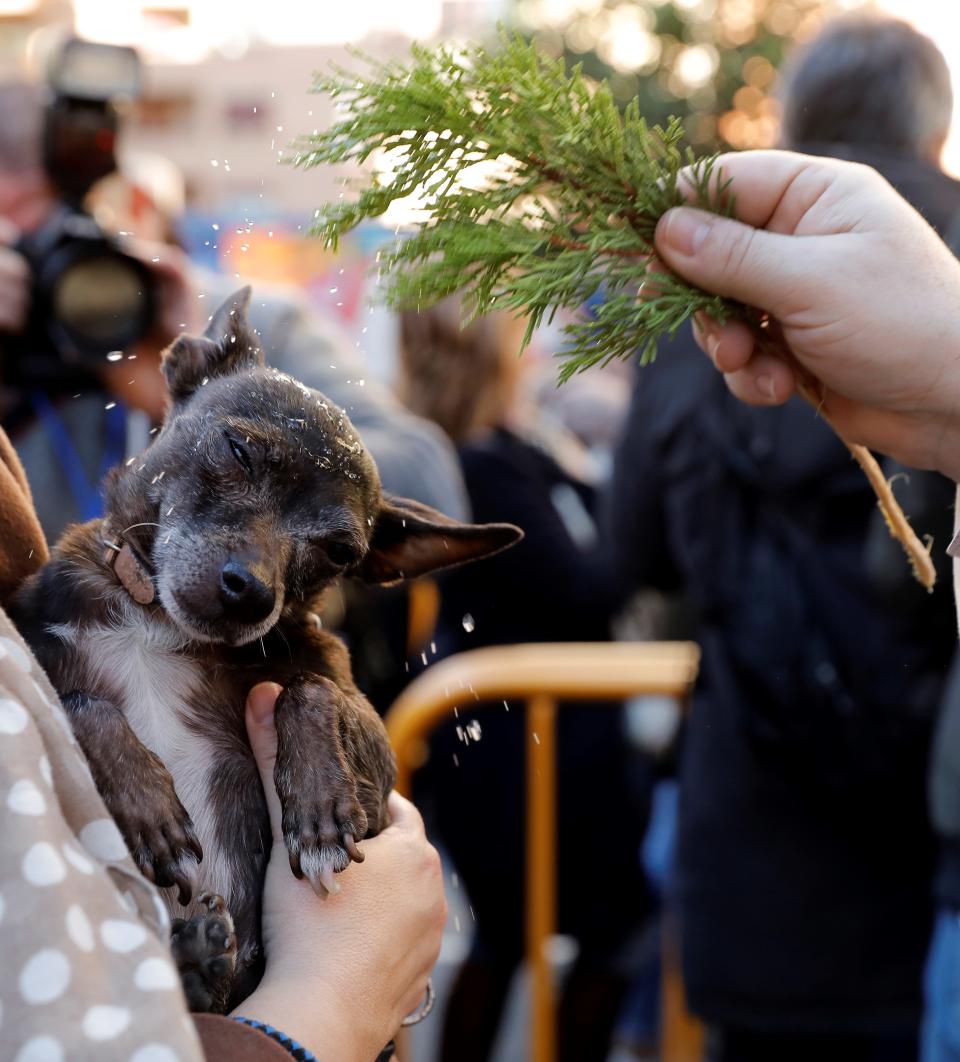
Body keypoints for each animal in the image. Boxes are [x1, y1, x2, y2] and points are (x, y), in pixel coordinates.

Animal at [9, 288, 518, 1011]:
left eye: (340, 553)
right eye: (239, 451)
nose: (253, 593)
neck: (157, 625)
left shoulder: (379, 758)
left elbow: (309, 688)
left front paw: (318, 805)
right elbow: (82, 702)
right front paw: (148, 801)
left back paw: (198, 964)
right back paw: (192, 961)